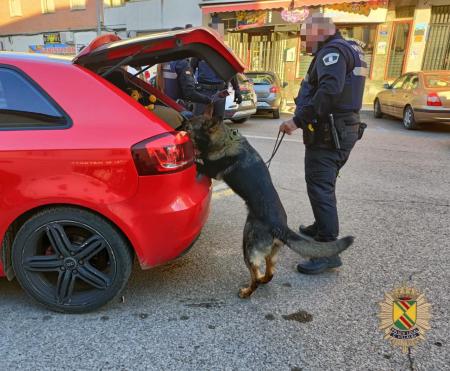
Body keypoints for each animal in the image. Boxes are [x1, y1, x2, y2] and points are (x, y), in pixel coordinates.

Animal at [185, 108, 354, 300]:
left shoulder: (210, 169)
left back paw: (247, 291)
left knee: (255, 277)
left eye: (190, 126)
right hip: (270, 253)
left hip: (248, 245)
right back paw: (263, 280)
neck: (225, 139)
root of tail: (280, 227)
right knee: (270, 273)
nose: (182, 124)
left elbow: (200, 163)